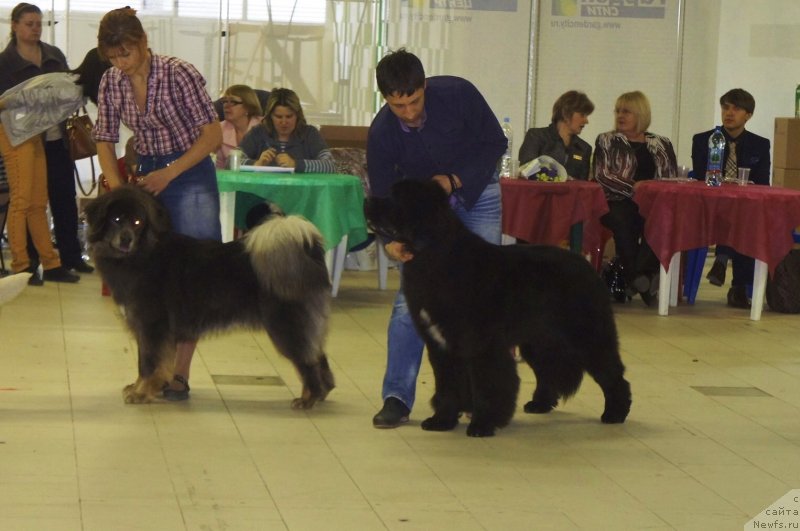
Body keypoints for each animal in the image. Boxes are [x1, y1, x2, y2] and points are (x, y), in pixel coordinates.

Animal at [86, 187, 336, 408]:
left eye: (138, 222)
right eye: (116, 219)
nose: (126, 239)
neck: (143, 253)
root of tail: (310, 253)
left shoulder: (153, 326)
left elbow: (149, 364)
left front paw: (142, 393)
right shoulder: (145, 328)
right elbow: (145, 363)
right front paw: (139, 387)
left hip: (286, 326)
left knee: (308, 360)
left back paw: (309, 398)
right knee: (317, 354)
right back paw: (322, 393)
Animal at [366, 181, 636, 438]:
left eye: (396, 198)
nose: (367, 201)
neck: (435, 254)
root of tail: (587, 265)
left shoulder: (482, 345)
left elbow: (488, 385)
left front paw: (482, 425)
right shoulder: (441, 346)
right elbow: (447, 384)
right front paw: (442, 421)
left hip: (587, 336)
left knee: (613, 373)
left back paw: (615, 413)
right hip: (539, 340)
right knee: (547, 370)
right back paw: (540, 404)